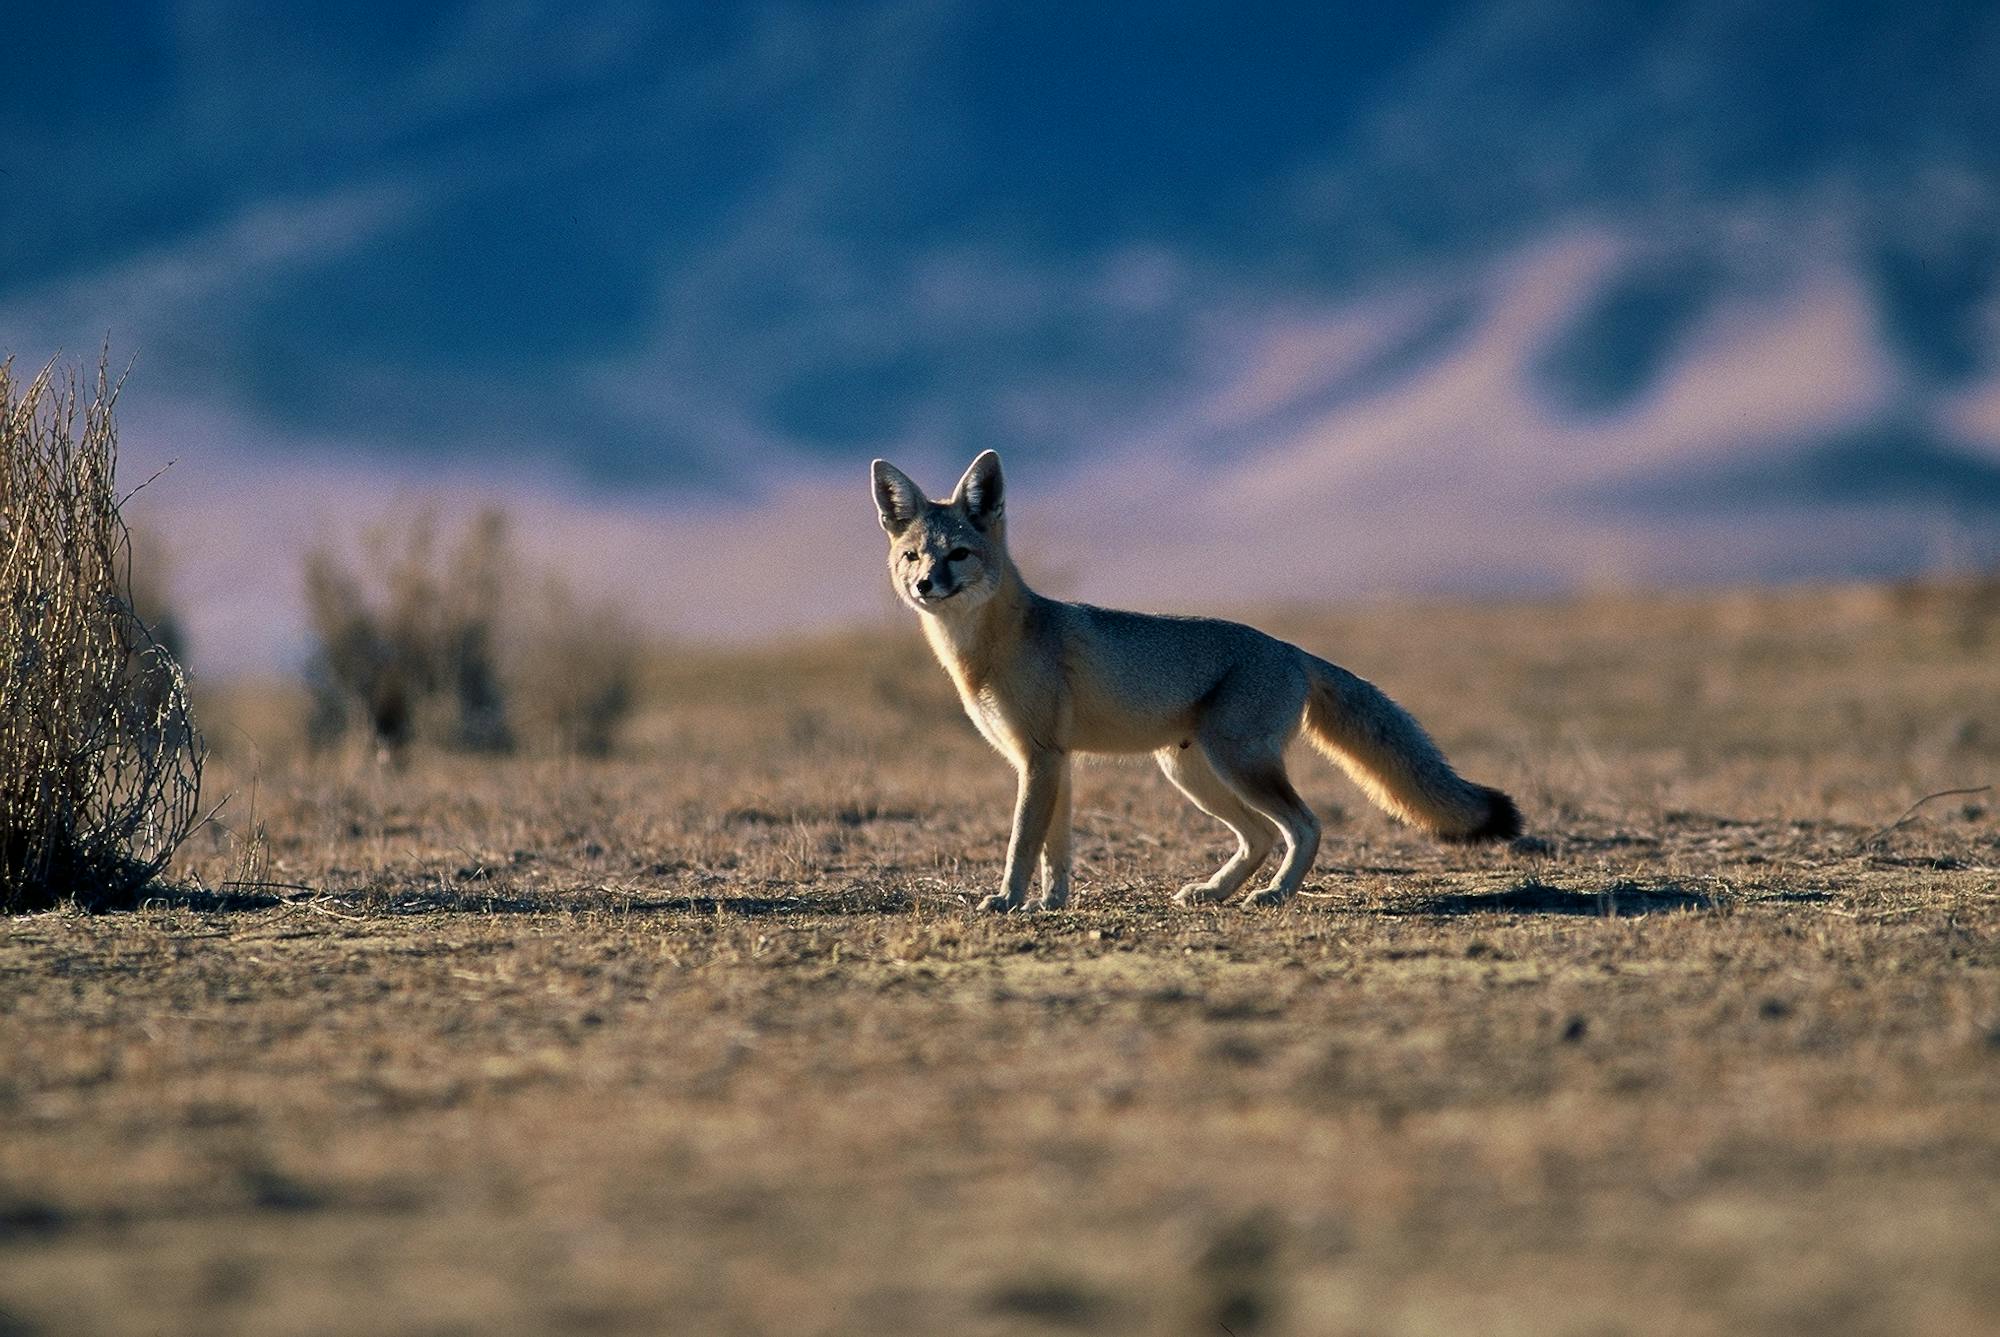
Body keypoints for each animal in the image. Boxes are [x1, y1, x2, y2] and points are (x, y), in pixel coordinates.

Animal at [872, 448, 1512, 908]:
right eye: (912, 556)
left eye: (957, 554)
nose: (925, 584)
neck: (988, 649)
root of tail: (1291, 649)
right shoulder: (1053, 762)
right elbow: (1057, 847)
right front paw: (1052, 903)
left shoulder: (1040, 758)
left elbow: (1021, 842)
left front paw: (1007, 900)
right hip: (1191, 772)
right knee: (1259, 835)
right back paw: (1215, 891)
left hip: (1236, 763)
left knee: (1304, 825)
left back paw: (1275, 894)